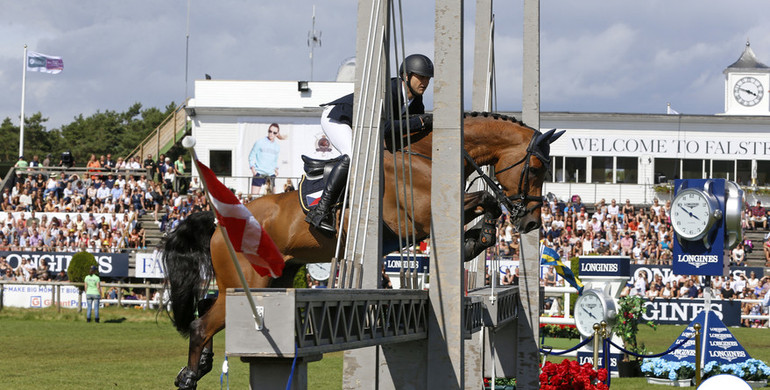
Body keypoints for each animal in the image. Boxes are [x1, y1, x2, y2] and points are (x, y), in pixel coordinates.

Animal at [162, 111, 560, 388]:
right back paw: (188, 376)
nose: (531, 223)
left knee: (206, 310)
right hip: (248, 281)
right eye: (536, 167)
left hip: (274, 279)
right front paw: (477, 236)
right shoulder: (420, 218)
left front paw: (479, 238)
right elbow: (485, 199)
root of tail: (219, 223)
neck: (425, 155)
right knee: (200, 324)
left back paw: (200, 365)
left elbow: (486, 206)